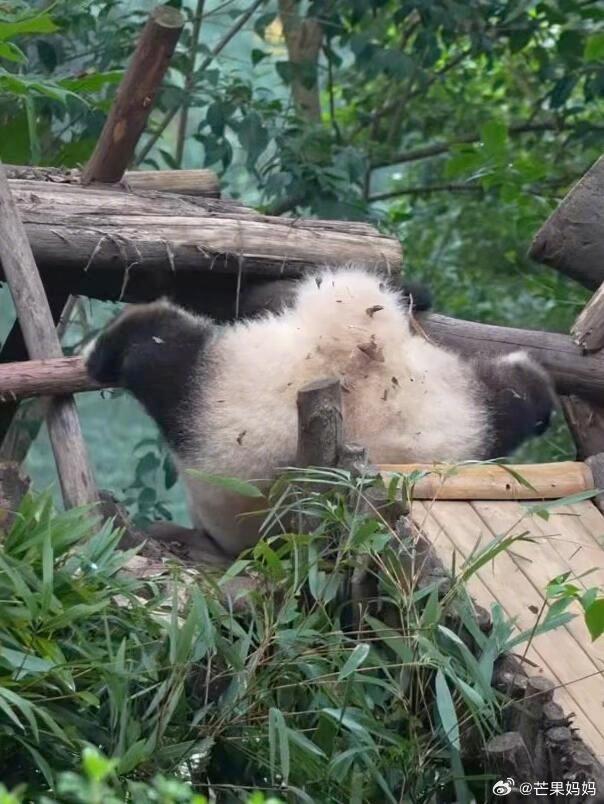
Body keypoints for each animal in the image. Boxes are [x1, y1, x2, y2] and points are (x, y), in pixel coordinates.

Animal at [86, 266, 556, 556]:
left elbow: (157, 351)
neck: (353, 359)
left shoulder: (226, 394)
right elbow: (511, 403)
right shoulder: (455, 411)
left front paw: (104, 354)